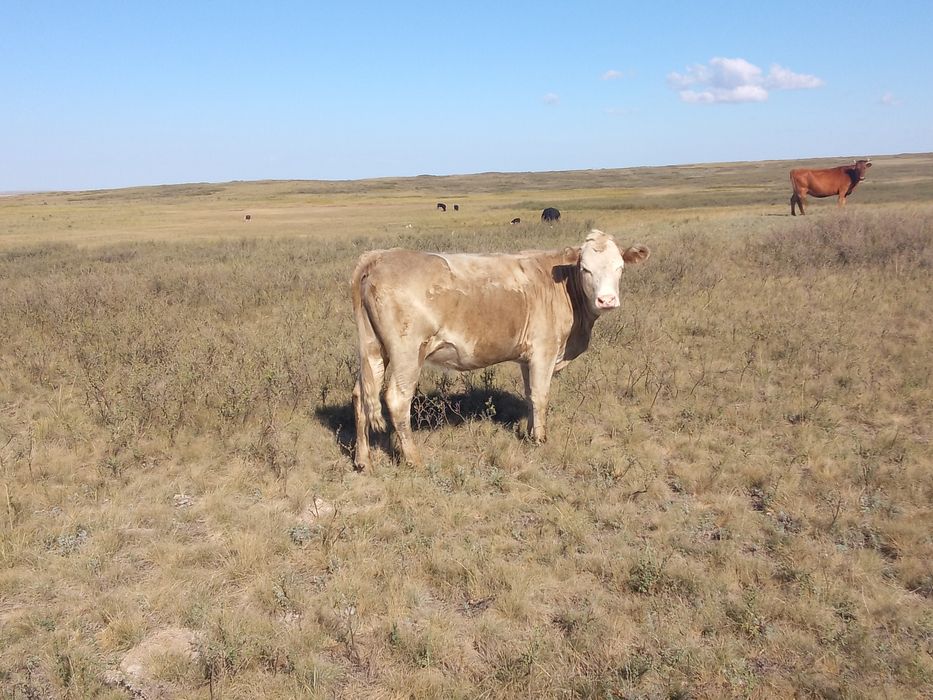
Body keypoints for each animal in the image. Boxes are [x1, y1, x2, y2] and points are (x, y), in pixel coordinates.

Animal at [350, 230, 650, 469]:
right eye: (586, 269)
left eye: (620, 267)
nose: (607, 300)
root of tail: (380, 256)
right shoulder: (544, 351)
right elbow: (541, 396)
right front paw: (540, 440)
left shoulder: (527, 357)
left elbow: (530, 396)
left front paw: (529, 432)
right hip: (407, 353)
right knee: (397, 400)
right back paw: (414, 459)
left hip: (373, 349)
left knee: (361, 395)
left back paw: (363, 461)